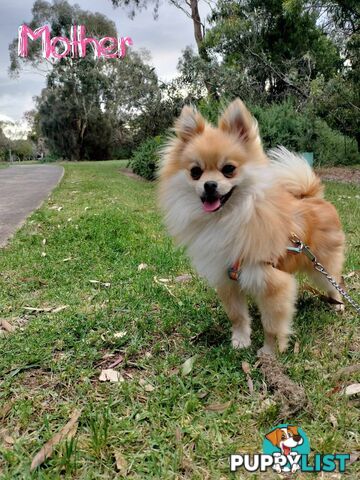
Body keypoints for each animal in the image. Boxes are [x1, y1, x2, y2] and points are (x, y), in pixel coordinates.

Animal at [159, 98, 344, 352]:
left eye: (228, 169)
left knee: (335, 281)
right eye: (195, 172)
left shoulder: (274, 283)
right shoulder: (227, 279)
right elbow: (237, 315)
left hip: (322, 265)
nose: (209, 185)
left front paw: (270, 352)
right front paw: (240, 339)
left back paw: (337, 304)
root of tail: (312, 197)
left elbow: (273, 324)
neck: (230, 218)